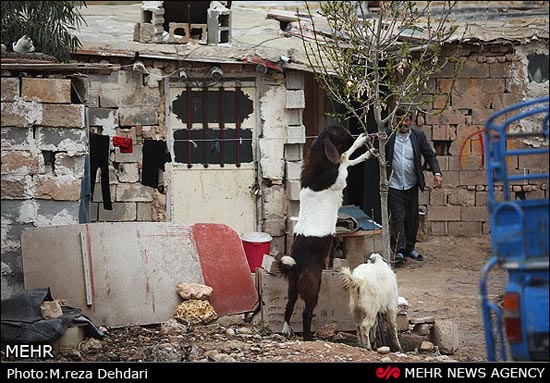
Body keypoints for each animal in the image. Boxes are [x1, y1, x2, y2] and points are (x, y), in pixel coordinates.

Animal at [280, 126, 380, 342]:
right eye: (340, 133)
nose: (357, 134)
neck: (319, 164)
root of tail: (297, 265)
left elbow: (347, 159)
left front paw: (365, 151)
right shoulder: (340, 177)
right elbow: (345, 157)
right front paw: (360, 144)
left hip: (292, 288)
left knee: (289, 307)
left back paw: (285, 329)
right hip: (312, 288)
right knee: (306, 312)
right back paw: (308, 338)